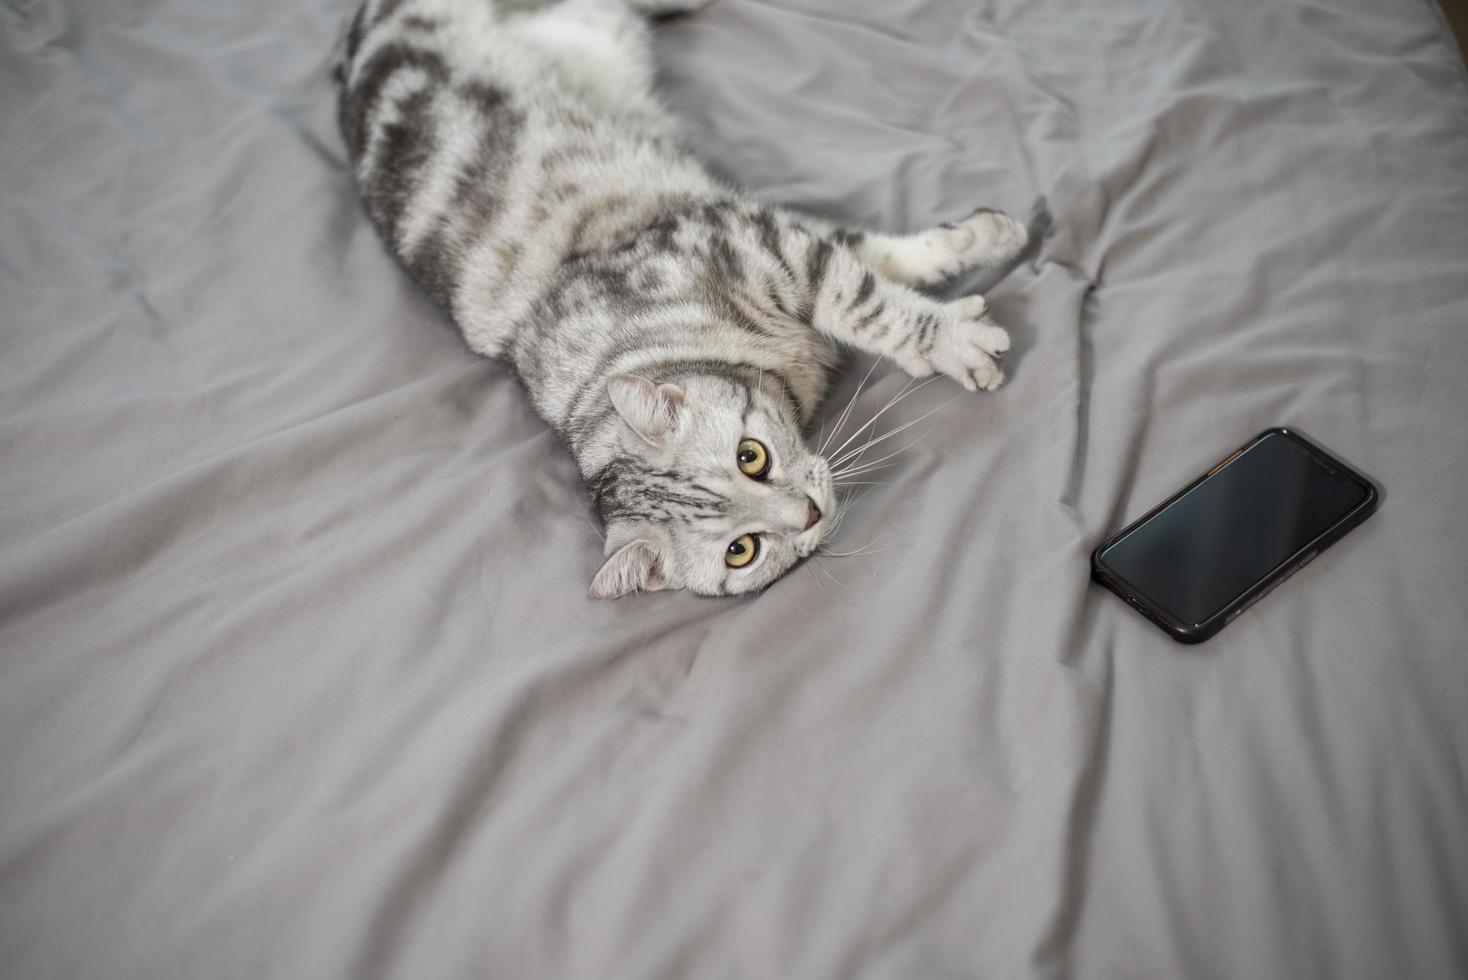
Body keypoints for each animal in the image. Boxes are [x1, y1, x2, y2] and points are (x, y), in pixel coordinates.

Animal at [334, 0, 1027, 598]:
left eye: (751, 457)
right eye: (742, 551)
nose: (806, 514)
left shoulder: (749, 237)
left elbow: (866, 288)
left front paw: (962, 295)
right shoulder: (751, 232)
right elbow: (868, 274)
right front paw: (955, 305)